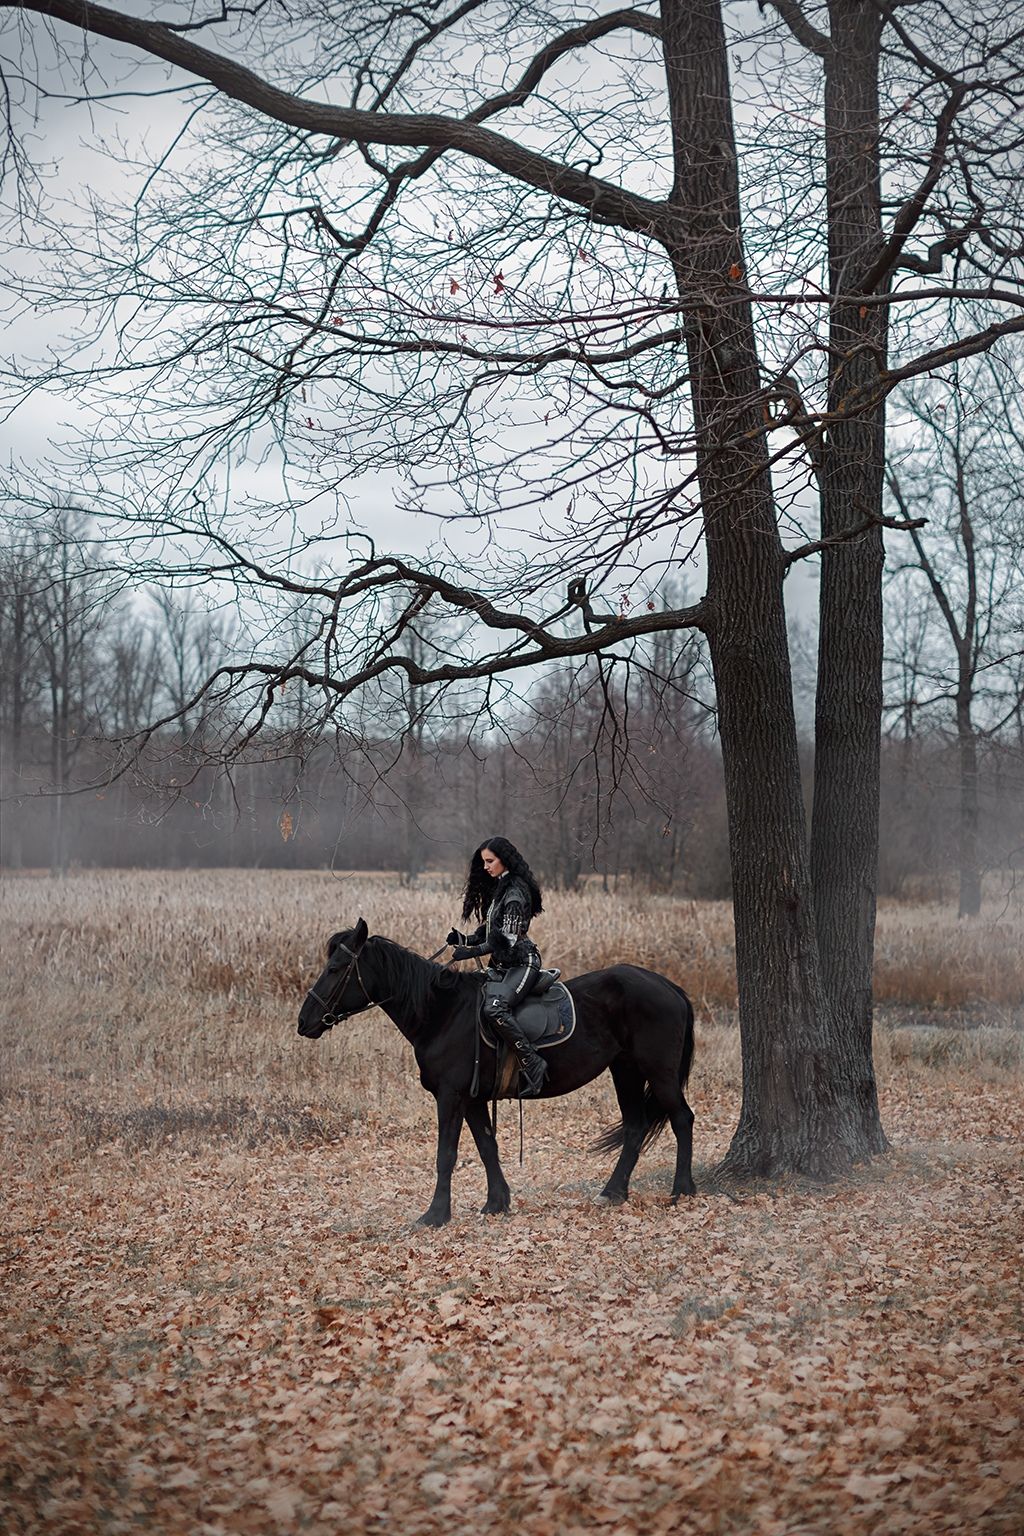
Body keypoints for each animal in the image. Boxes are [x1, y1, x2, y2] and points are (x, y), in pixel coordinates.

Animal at [296, 915, 696, 1228]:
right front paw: (496, 1203)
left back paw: (683, 1190)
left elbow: (446, 1155)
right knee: (635, 1127)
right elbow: (487, 1147)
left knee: (682, 1118)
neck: (442, 1013)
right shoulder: (472, 1099)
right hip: (625, 1070)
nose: (304, 1022)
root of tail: (668, 986)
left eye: (335, 969)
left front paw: (435, 1215)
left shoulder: (451, 1097)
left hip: (657, 1071)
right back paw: (613, 1192)